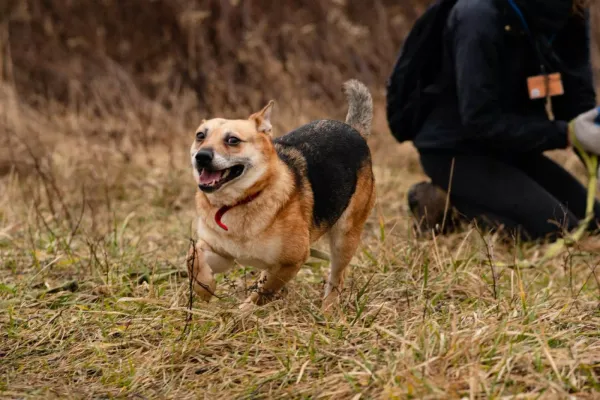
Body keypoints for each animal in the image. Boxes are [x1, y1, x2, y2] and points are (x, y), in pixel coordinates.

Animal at [186, 79, 376, 310]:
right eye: (200, 136)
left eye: (233, 140)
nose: (201, 156)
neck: (240, 201)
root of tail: (354, 130)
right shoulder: (221, 253)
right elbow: (192, 258)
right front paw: (204, 289)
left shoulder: (293, 261)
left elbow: (264, 292)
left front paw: (243, 311)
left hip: (344, 239)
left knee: (336, 279)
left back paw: (327, 311)